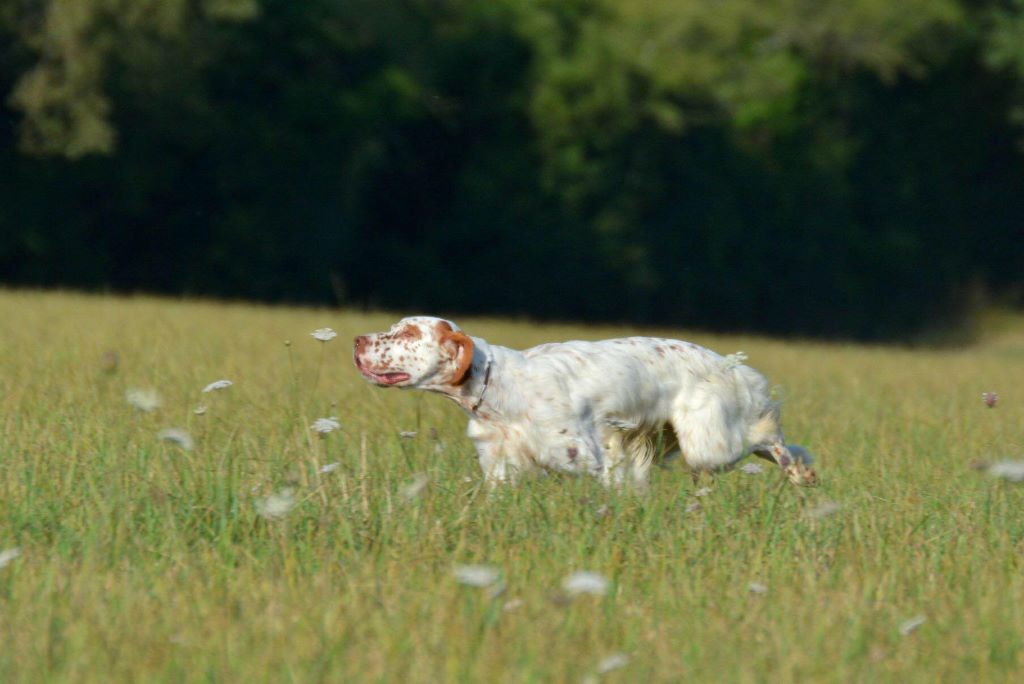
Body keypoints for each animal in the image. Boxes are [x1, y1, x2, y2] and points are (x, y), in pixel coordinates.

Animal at [352, 317, 815, 489]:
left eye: (407, 333)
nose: (357, 340)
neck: (498, 385)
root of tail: (726, 364)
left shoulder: (588, 454)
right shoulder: (500, 463)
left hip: (708, 443)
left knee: (769, 436)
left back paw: (799, 470)